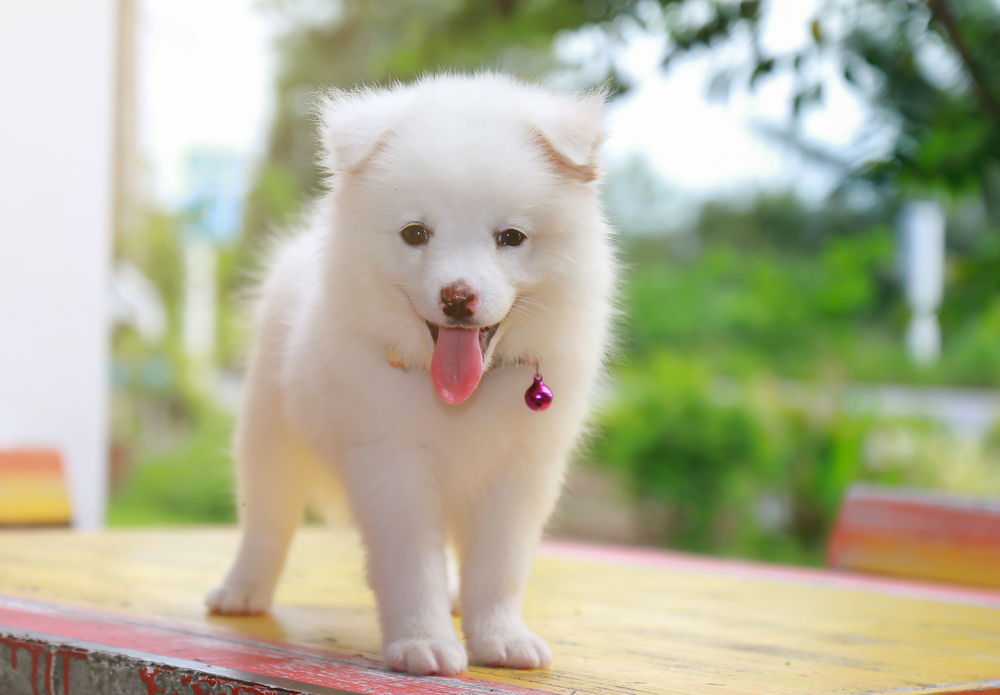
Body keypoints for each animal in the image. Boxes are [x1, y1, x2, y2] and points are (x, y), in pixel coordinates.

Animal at [207, 73, 616, 676]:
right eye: (416, 233)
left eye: (511, 237)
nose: (457, 297)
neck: (459, 396)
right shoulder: (391, 464)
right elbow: (410, 565)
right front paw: (423, 643)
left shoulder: (521, 470)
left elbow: (501, 565)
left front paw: (501, 637)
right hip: (270, 432)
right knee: (266, 519)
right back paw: (241, 591)